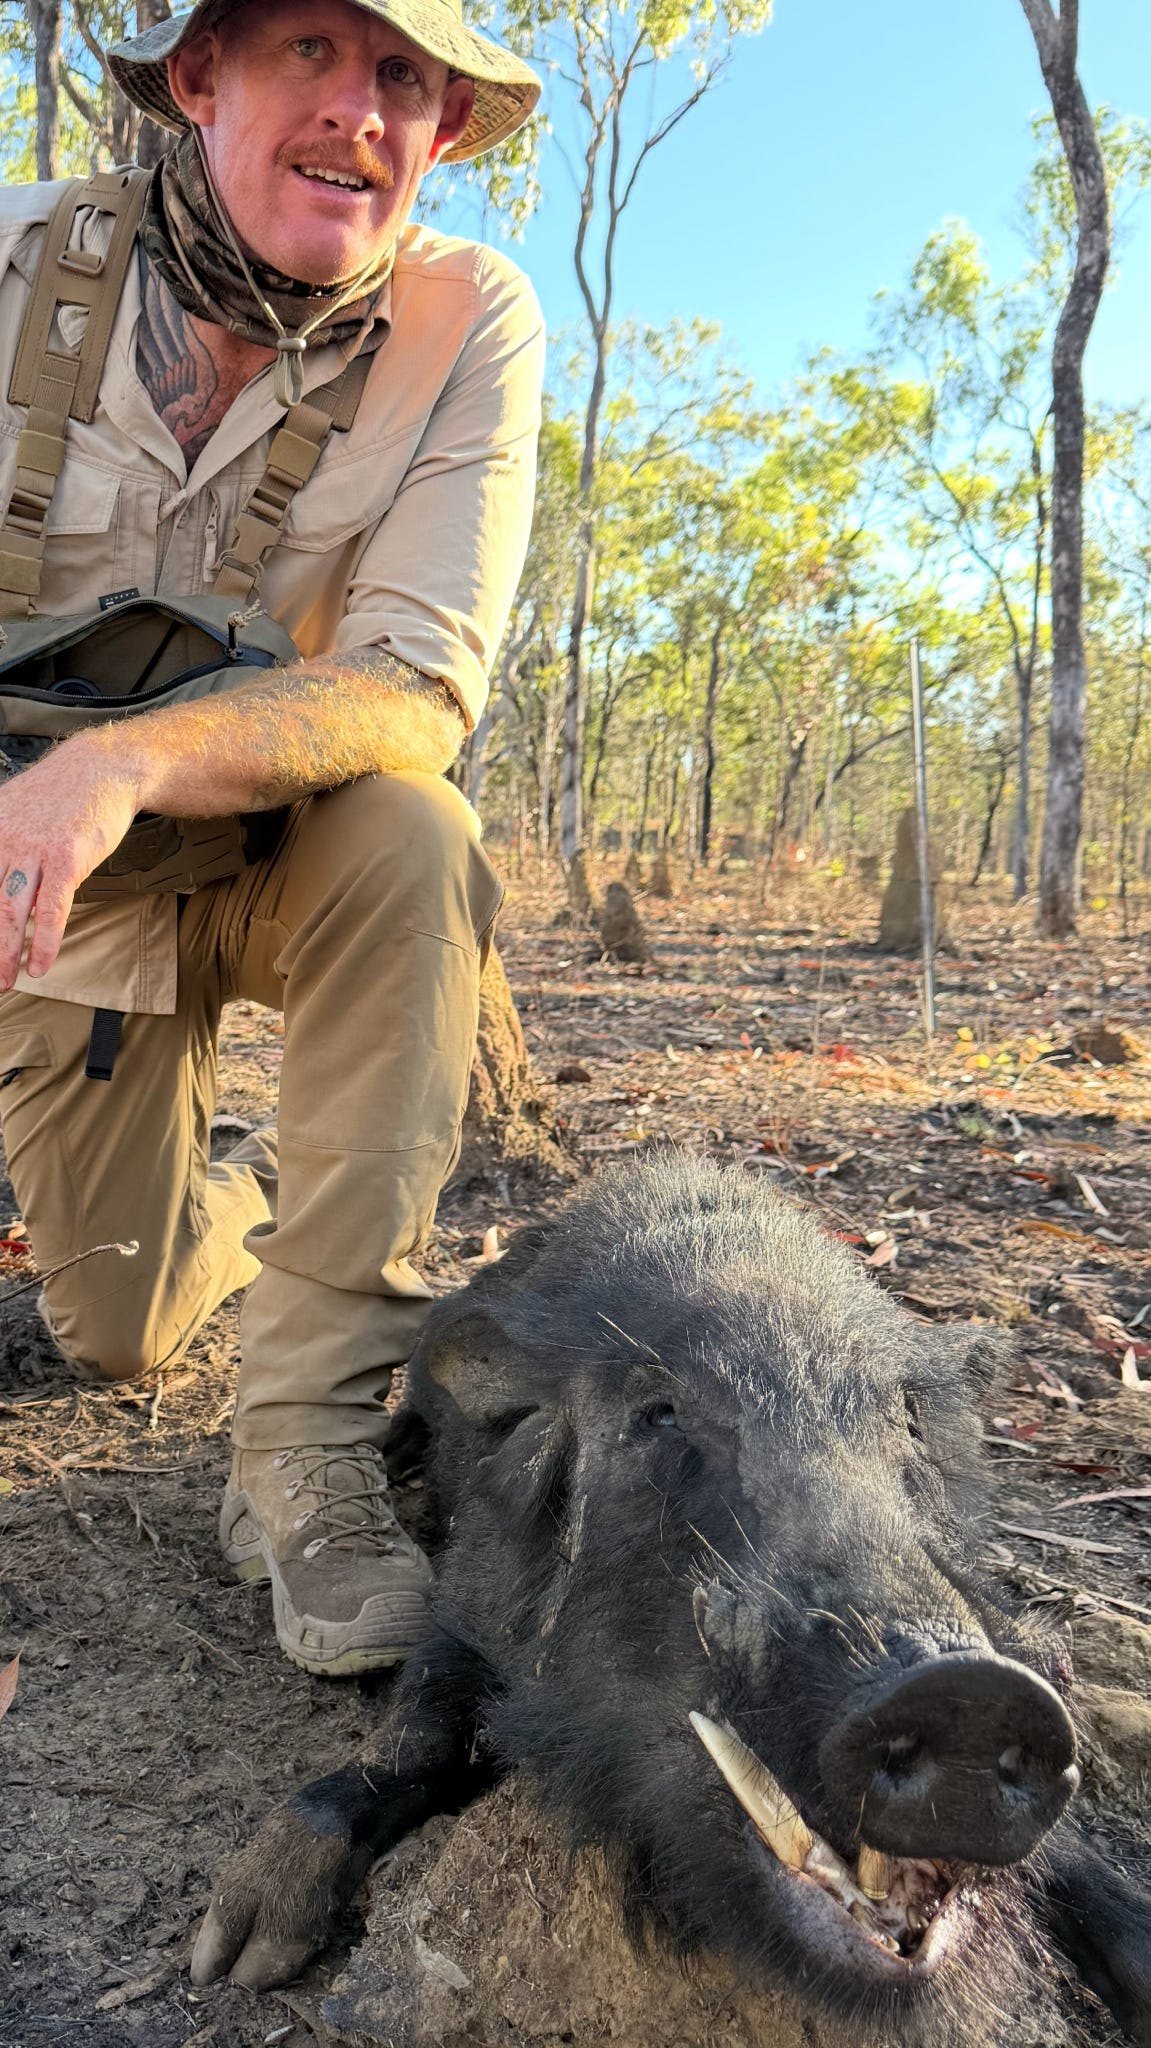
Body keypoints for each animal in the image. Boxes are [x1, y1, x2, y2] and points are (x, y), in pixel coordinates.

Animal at [191, 1156, 1151, 2045]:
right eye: (657, 1415)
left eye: (907, 1422)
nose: (969, 1691)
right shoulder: (462, 1609)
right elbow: (414, 1732)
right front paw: (235, 1956)